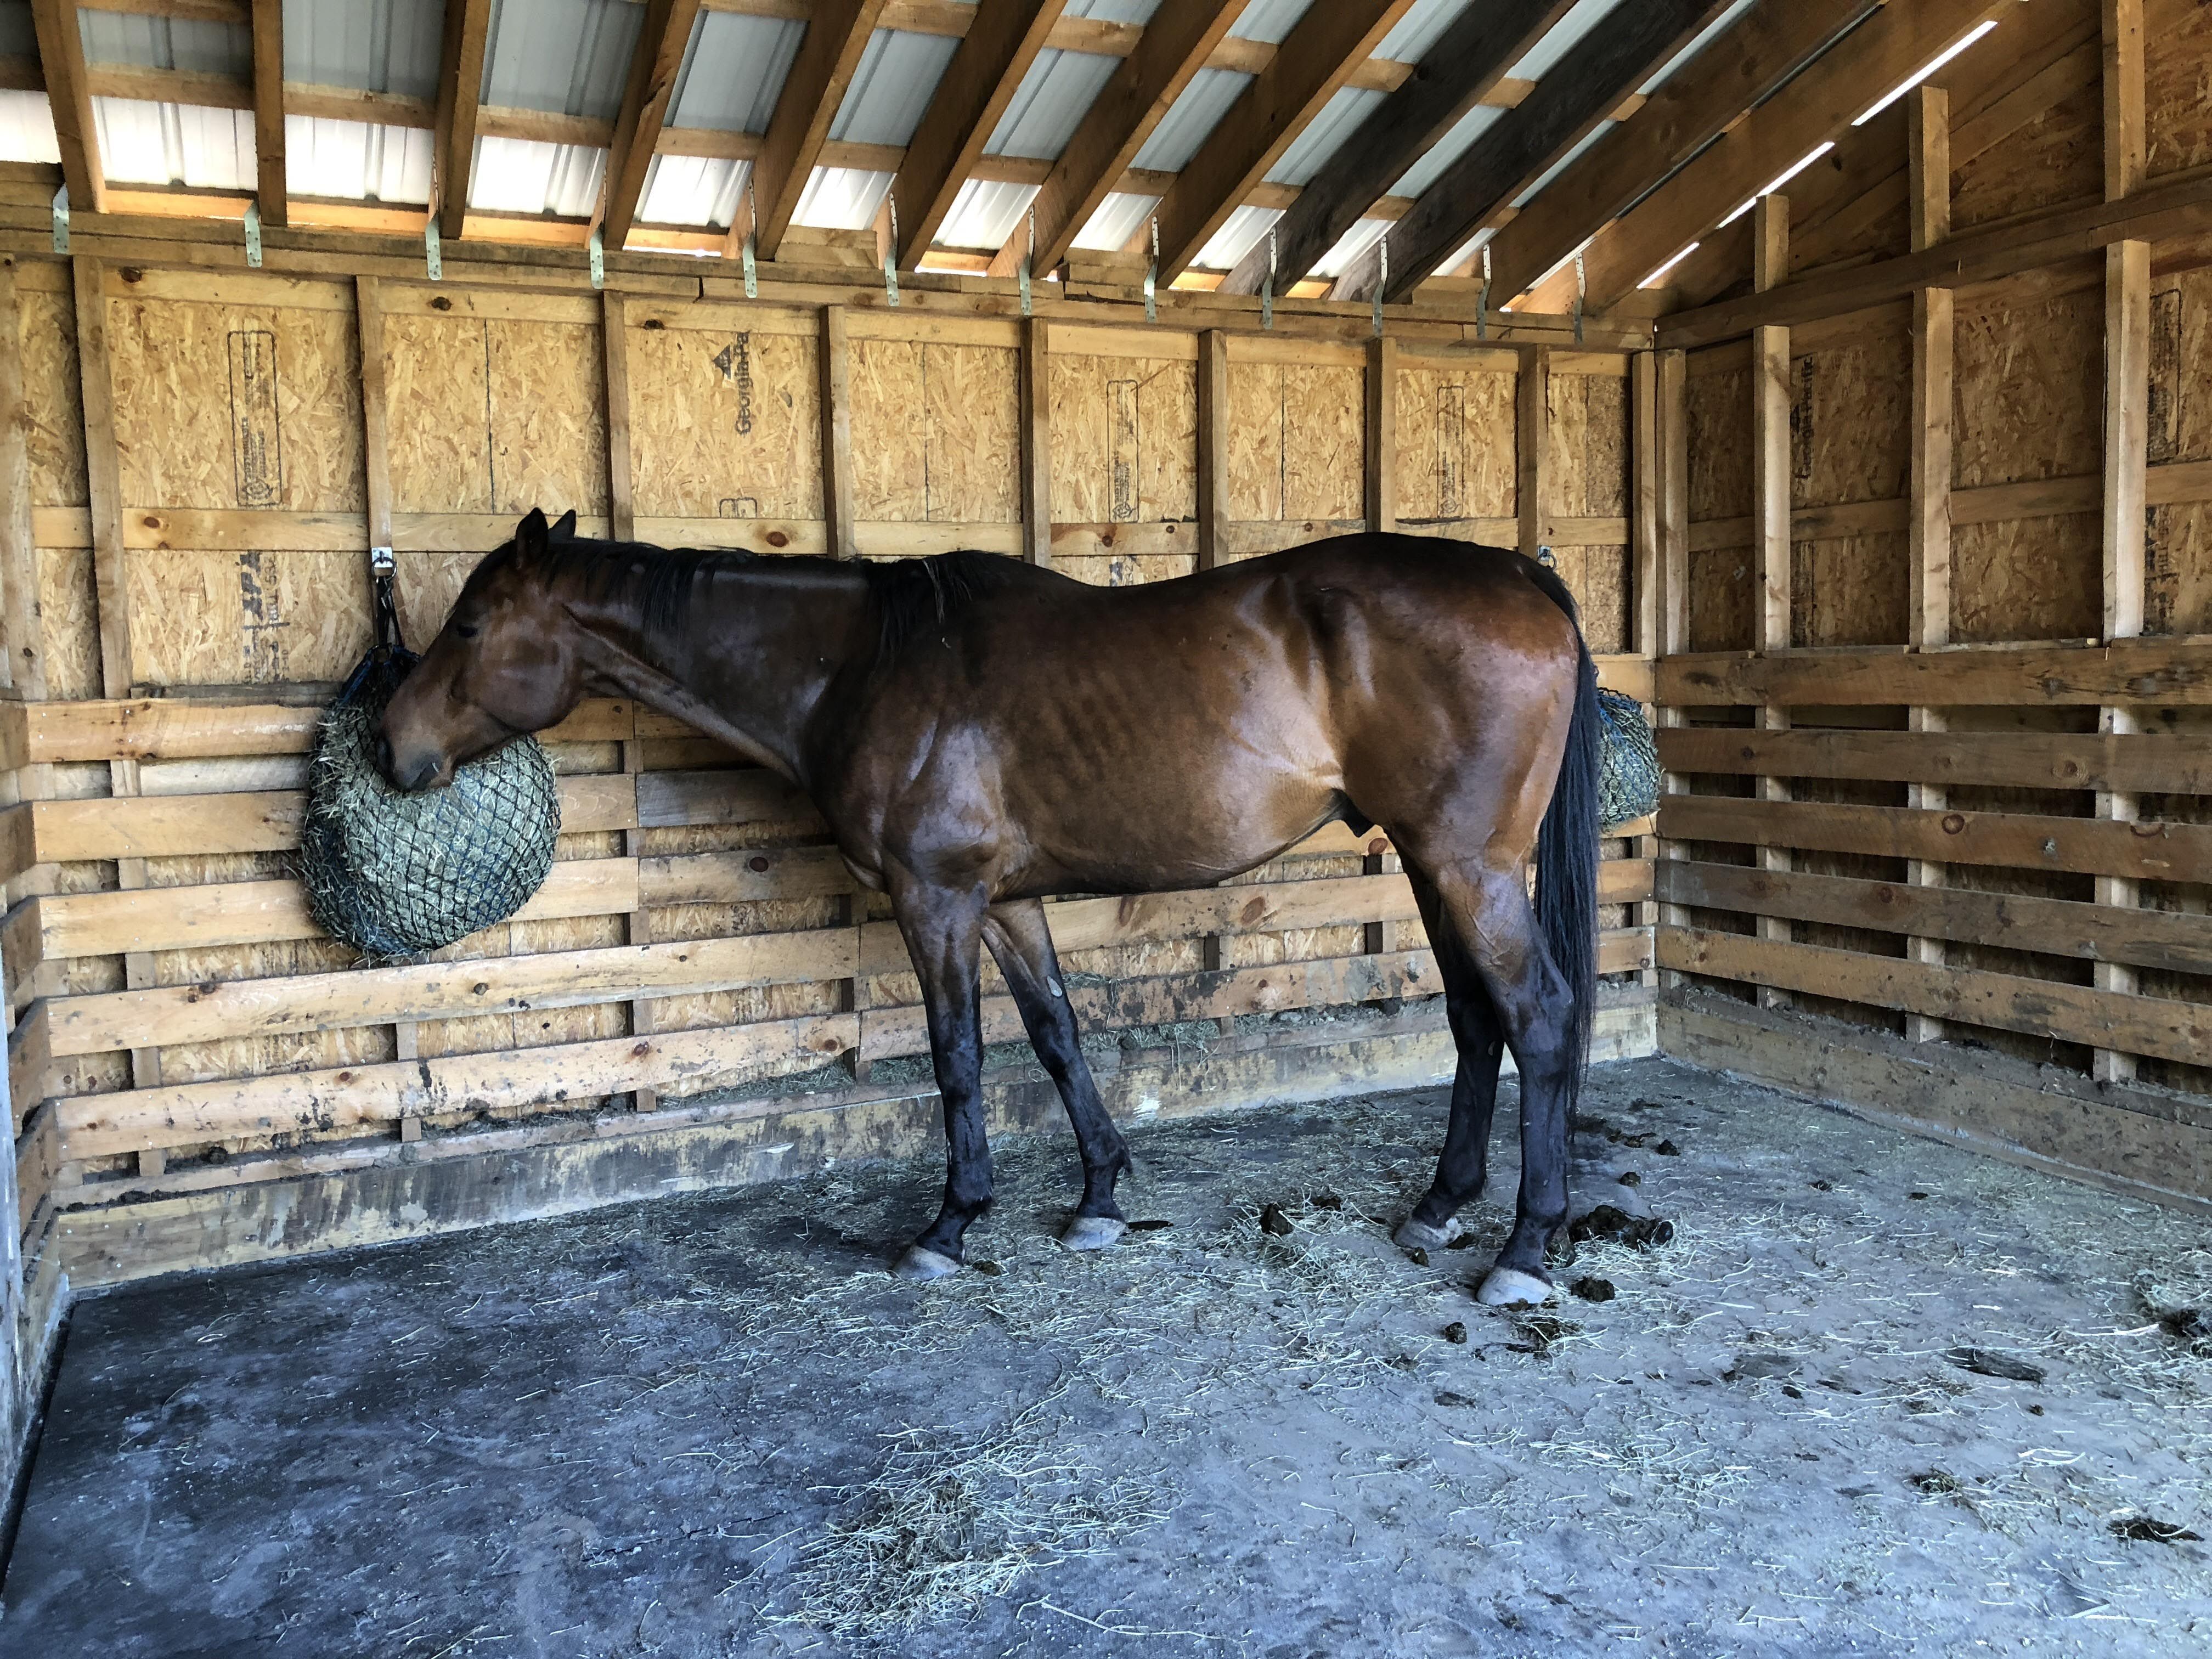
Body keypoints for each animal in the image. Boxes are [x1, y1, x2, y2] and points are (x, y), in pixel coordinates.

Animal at [376, 506, 1593, 1309]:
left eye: (471, 625)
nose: (394, 748)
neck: (863, 665)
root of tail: (1515, 573)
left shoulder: (938, 900)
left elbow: (957, 1056)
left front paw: (950, 1221)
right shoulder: (1007, 906)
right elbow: (1056, 1036)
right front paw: (1098, 1199)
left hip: (1469, 867)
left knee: (1537, 1018)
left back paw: (1524, 1250)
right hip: (1436, 865)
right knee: (1477, 1021)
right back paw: (1440, 1203)